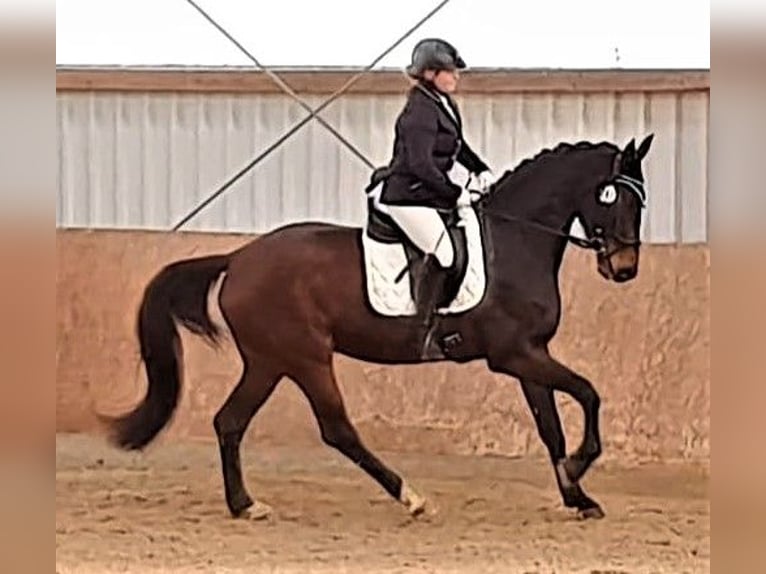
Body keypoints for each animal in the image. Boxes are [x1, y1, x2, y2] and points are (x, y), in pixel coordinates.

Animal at [105, 134, 656, 520]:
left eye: (641, 202)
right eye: (616, 199)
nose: (624, 268)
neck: (515, 241)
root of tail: (239, 258)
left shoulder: (529, 353)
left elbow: (551, 428)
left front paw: (577, 495)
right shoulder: (515, 354)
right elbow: (588, 394)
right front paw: (580, 467)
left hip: (269, 361)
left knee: (230, 421)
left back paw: (245, 504)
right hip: (305, 357)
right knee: (336, 429)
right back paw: (411, 497)